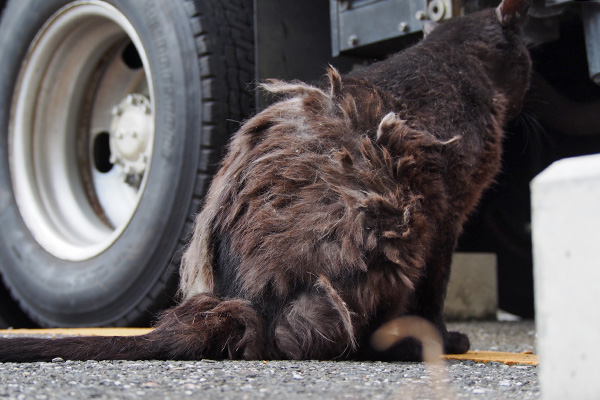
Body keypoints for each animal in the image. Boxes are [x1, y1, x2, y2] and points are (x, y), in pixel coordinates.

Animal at [2, 0, 532, 362]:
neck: (451, 59)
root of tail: (243, 301)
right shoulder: (447, 216)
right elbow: (434, 293)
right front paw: (446, 340)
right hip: (397, 227)